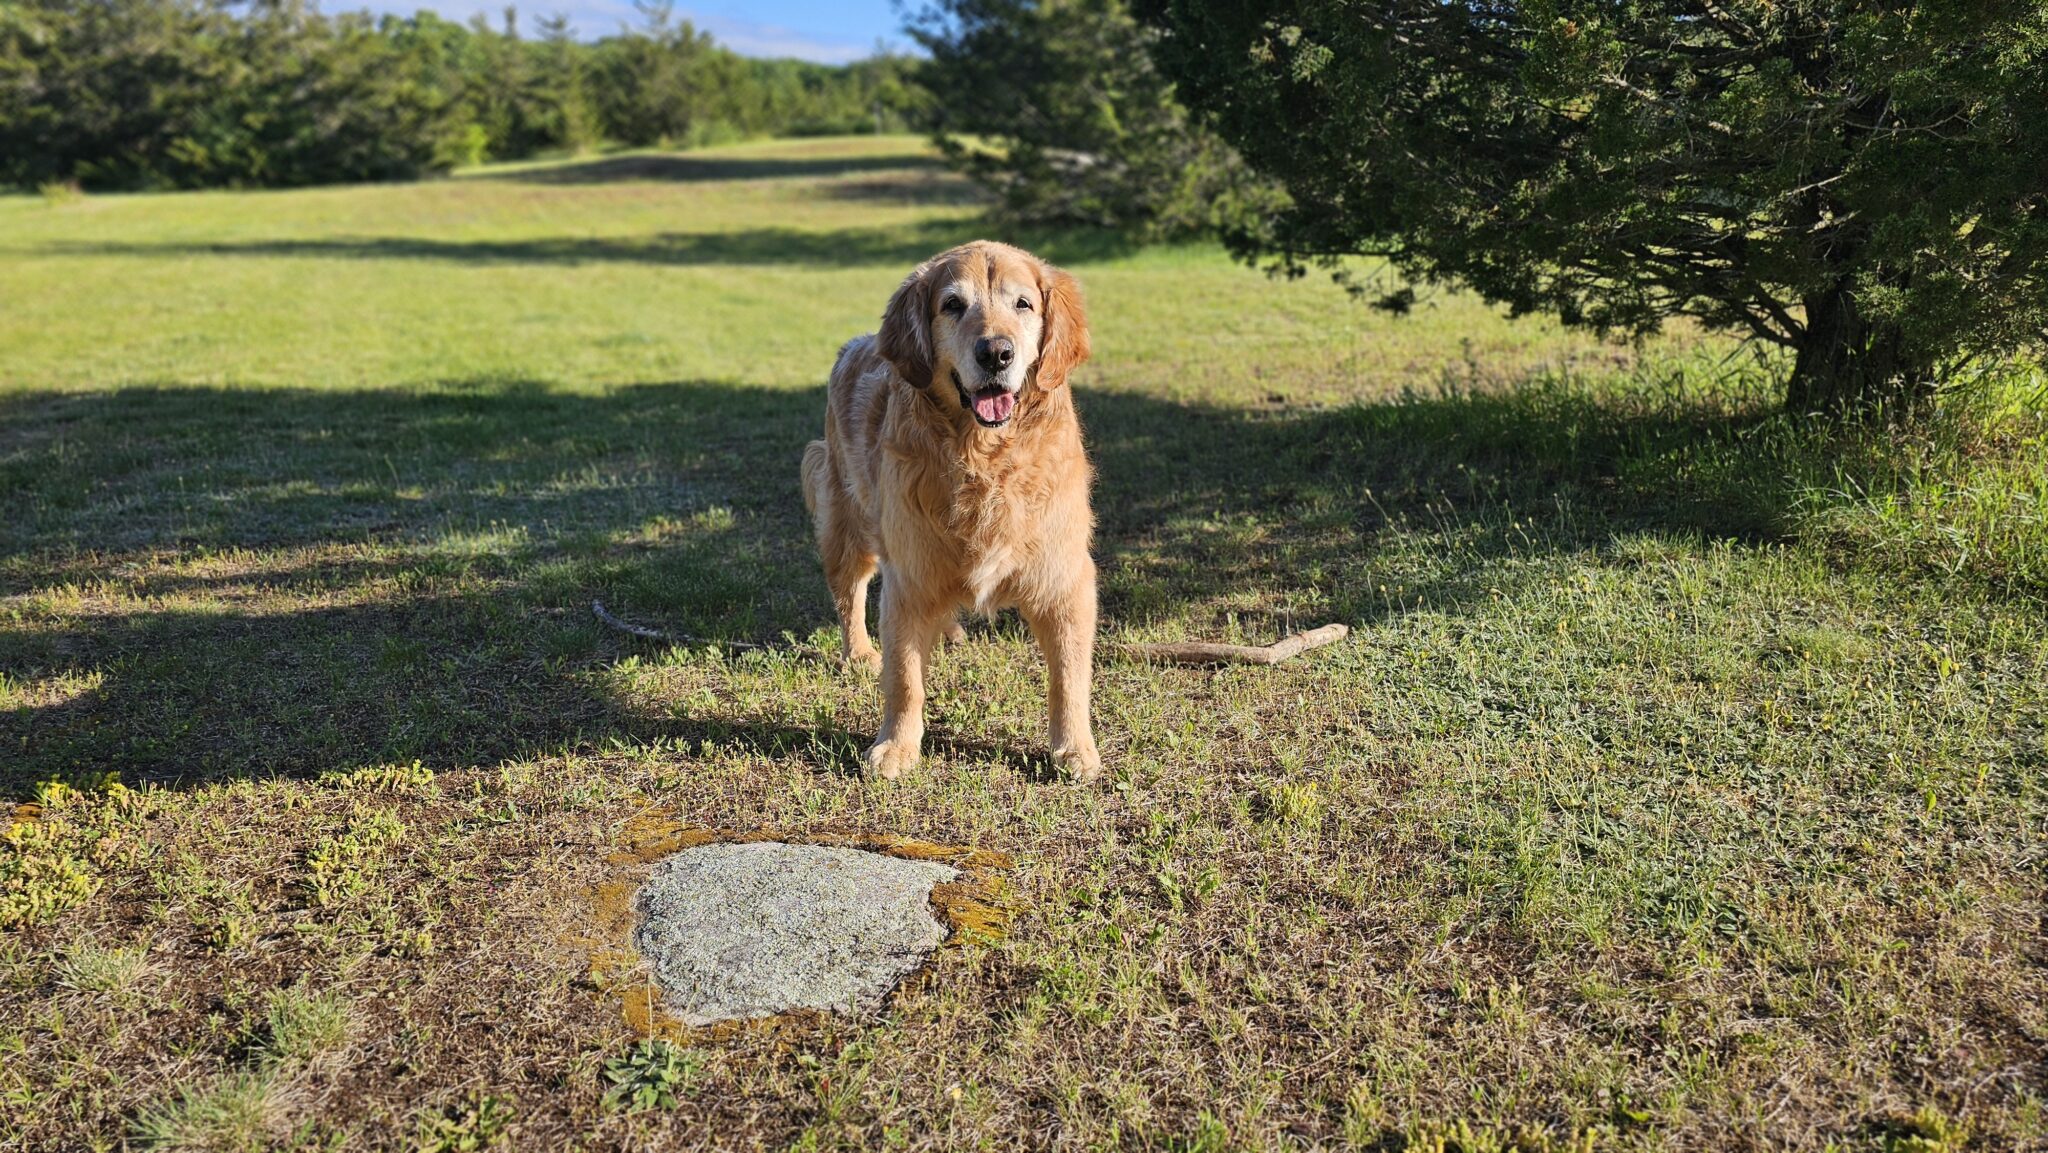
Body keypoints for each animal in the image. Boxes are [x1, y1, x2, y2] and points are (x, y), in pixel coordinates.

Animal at [801, 240, 1101, 782]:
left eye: (1023, 304)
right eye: (953, 305)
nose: (996, 353)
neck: (984, 458)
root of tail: (855, 345)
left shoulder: (1064, 580)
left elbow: (1069, 676)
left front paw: (1074, 750)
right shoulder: (908, 576)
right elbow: (903, 675)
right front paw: (896, 746)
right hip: (846, 522)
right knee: (849, 594)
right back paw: (859, 653)